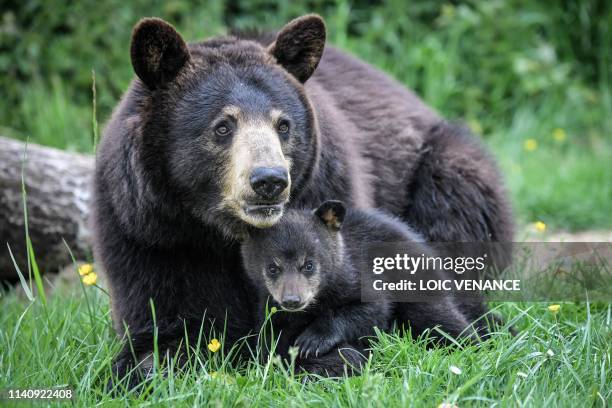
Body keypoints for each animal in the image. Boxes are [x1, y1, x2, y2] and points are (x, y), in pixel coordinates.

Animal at [91, 14, 512, 380]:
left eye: (283, 125)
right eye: (223, 126)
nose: (269, 181)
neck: (221, 234)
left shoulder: (329, 194)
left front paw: (316, 354)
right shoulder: (153, 235)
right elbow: (163, 326)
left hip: (443, 169)